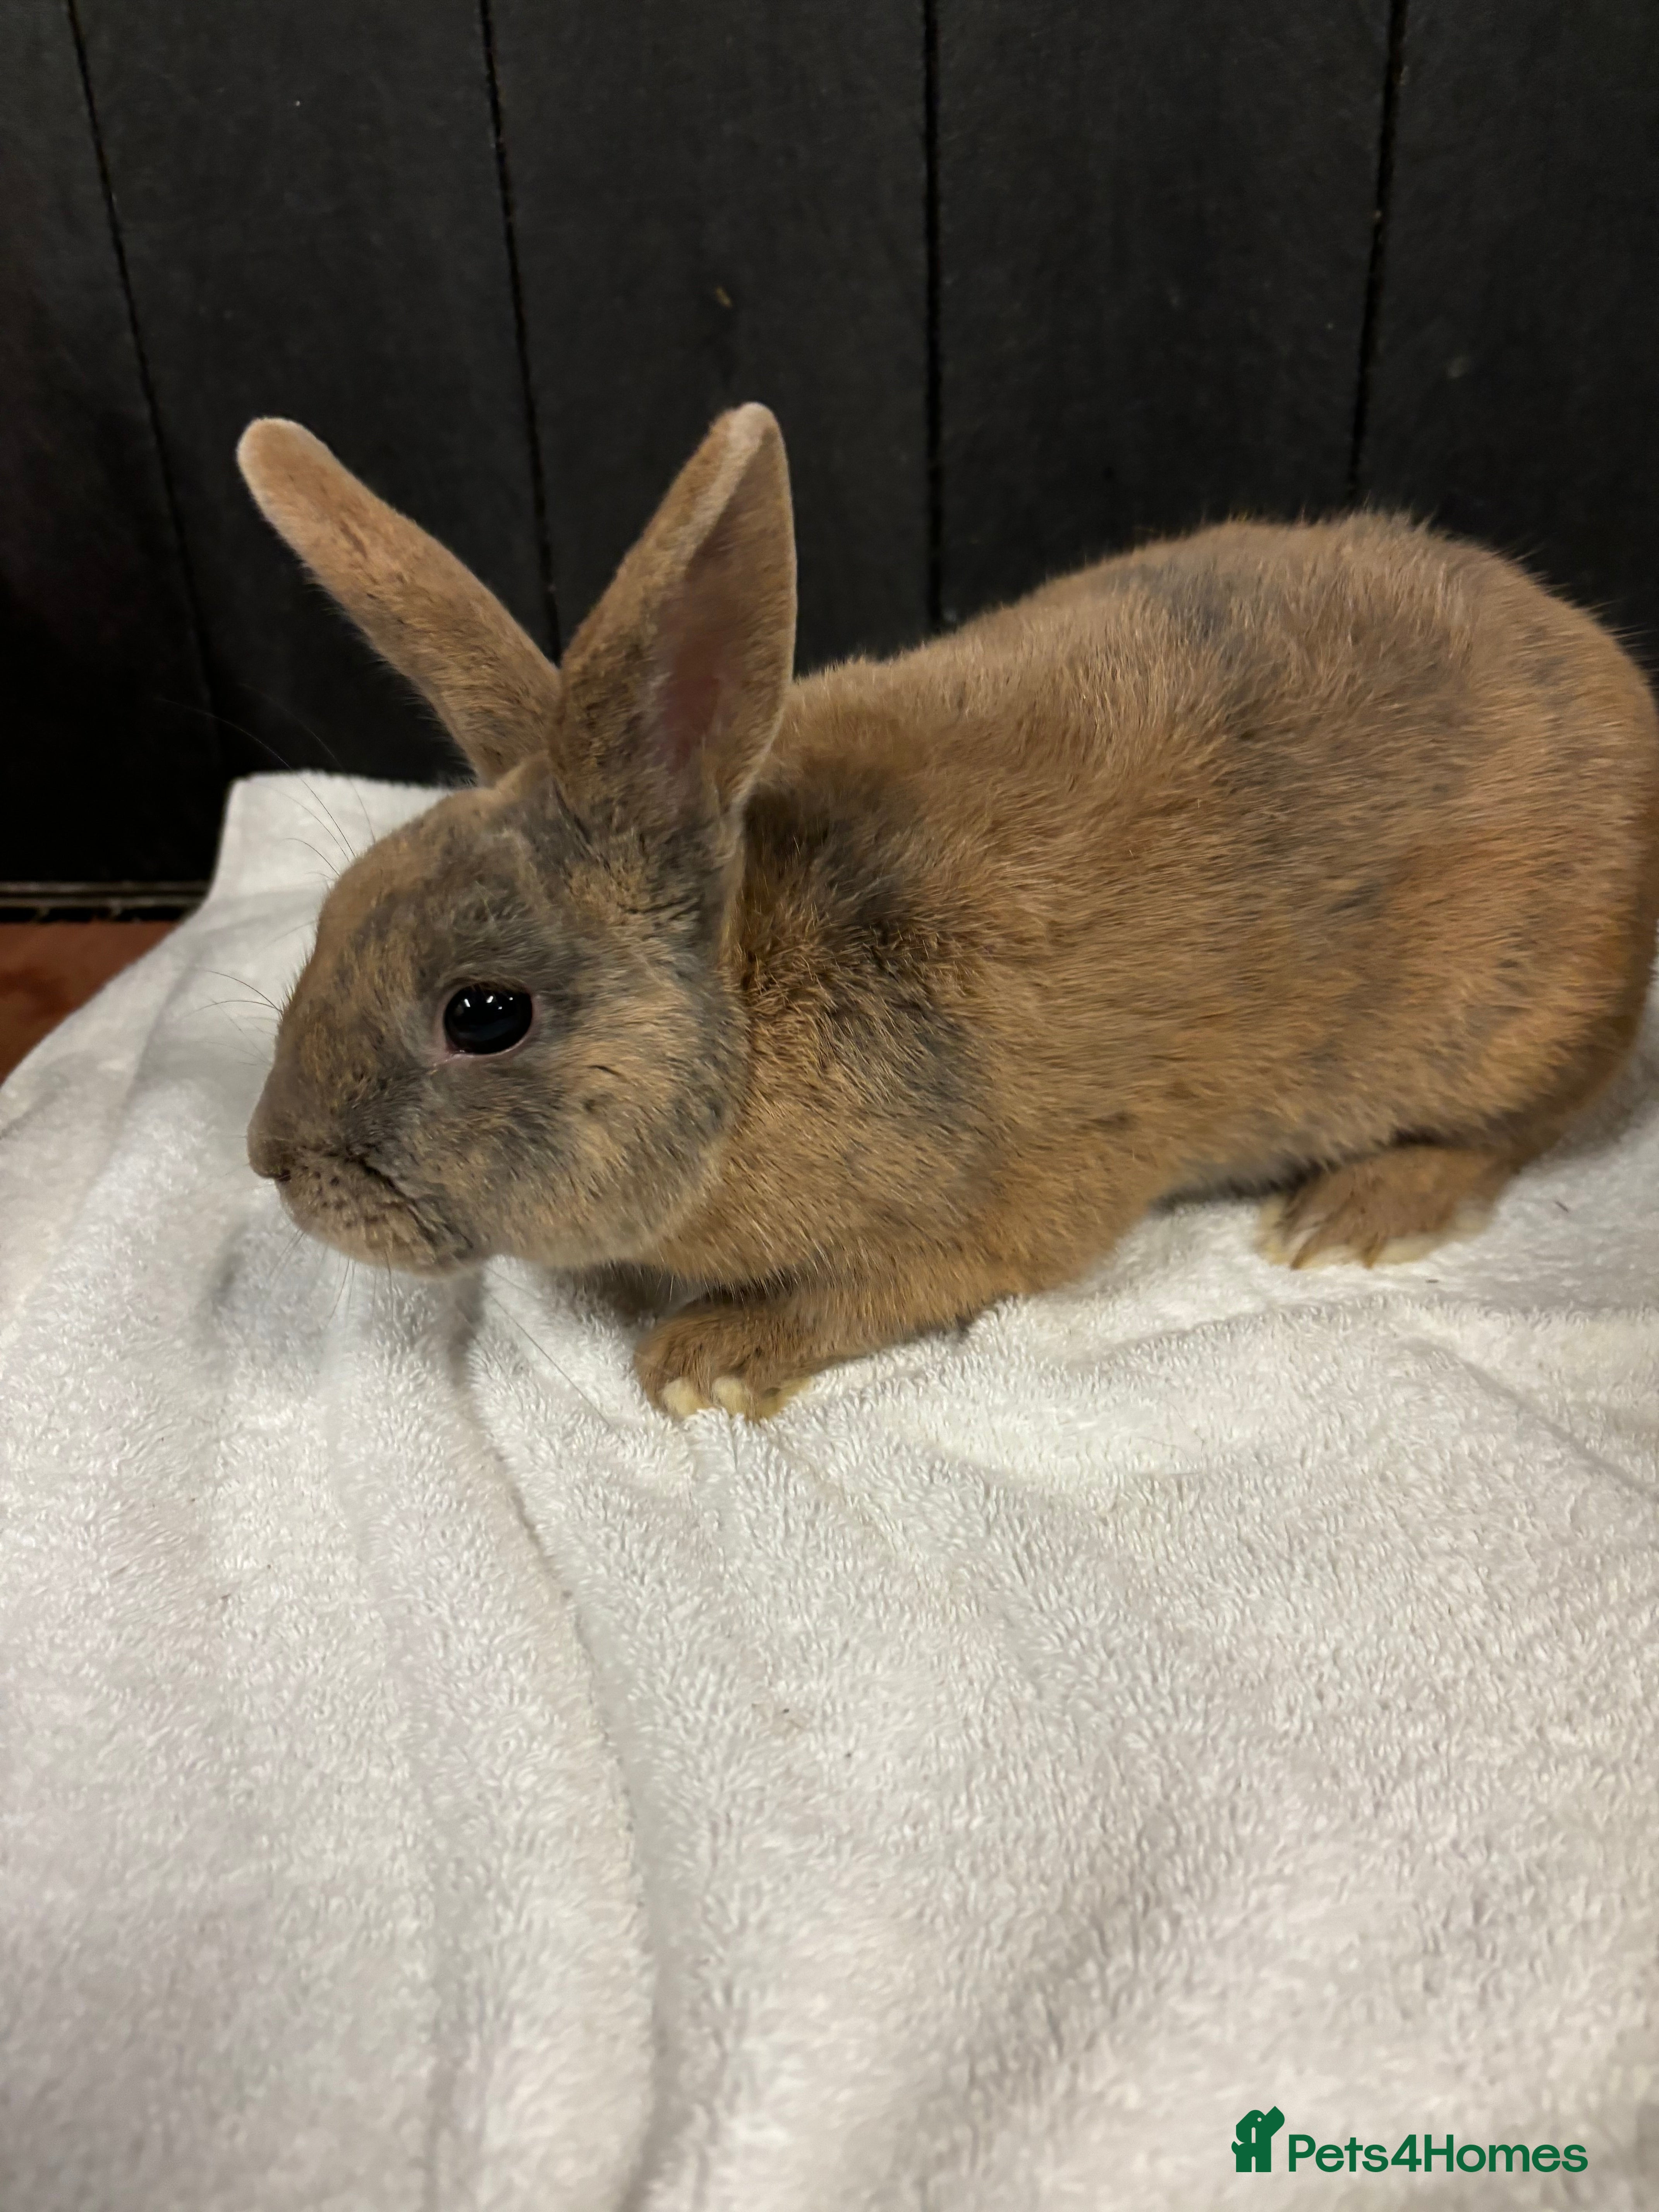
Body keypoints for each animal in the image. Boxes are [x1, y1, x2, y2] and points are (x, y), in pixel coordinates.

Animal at [239, 404, 1659, 1418]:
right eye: (335, 910)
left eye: (483, 1015)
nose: (273, 1163)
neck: (752, 1003)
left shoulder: (991, 1215)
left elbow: (870, 1294)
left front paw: (702, 1359)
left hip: (1511, 1023)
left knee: (1518, 1131)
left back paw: (1347, 1216)